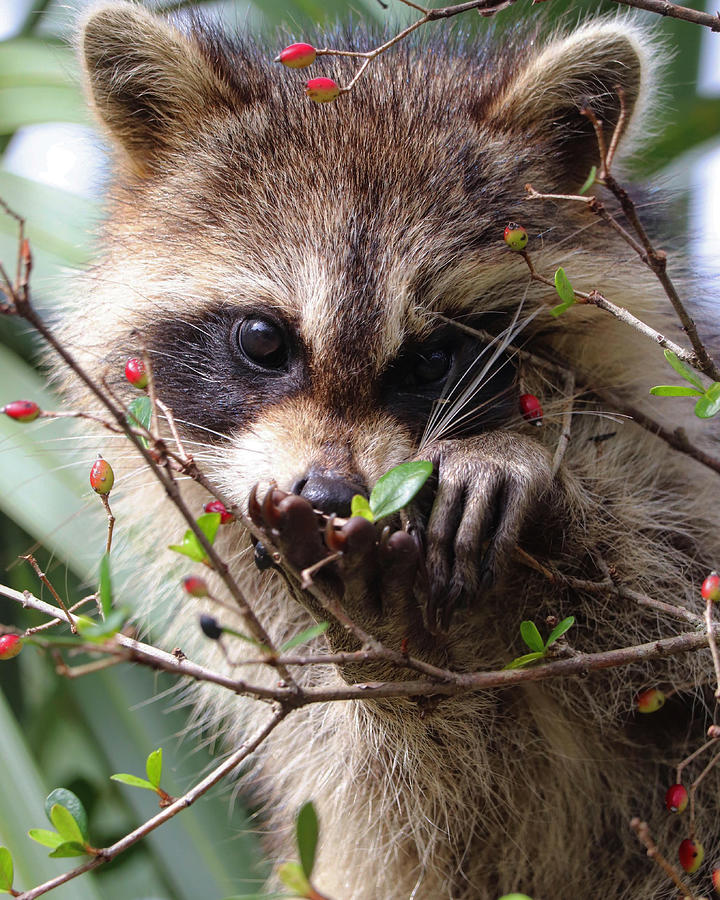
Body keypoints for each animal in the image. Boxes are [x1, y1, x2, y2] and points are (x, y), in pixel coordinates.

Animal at [57, 3, 720, 896]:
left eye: (434, 358)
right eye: (263, 340)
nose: (332, 498)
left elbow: (679, 586)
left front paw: (529, 473)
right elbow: (402, 809)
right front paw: (398, 664)